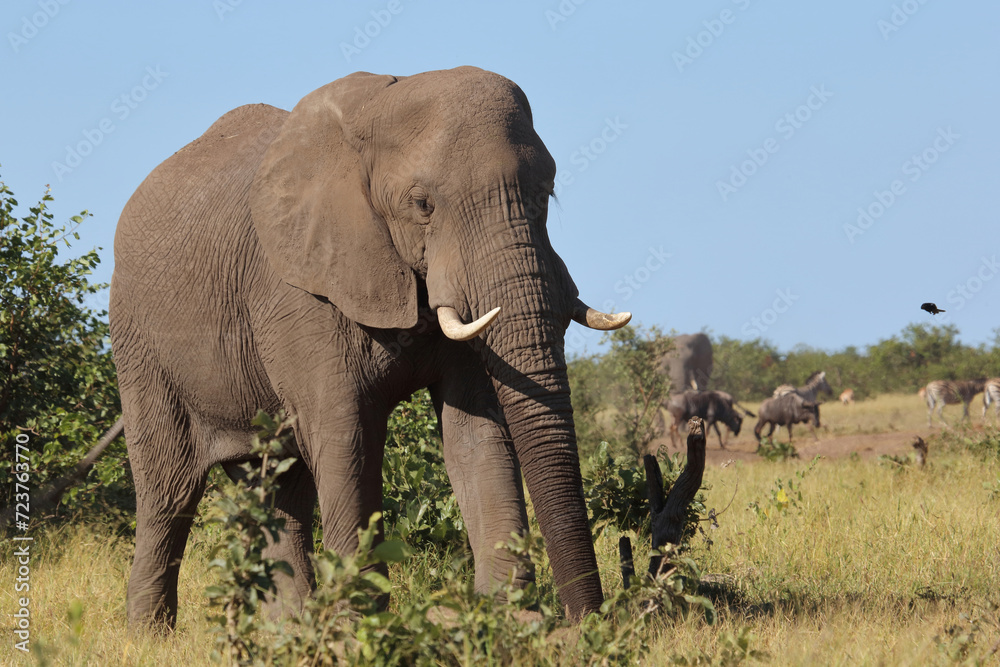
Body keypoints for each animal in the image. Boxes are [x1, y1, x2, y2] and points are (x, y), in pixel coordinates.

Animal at [110, 66, 631, 628]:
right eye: (422, 205)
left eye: (548, 193)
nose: (588, 622)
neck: (376, 110)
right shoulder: (299, 288)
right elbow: (346, 436)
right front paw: (363, 628)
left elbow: (475, 432)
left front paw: (507, 620)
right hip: (137, 339)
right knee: (170, 491)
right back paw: (148, 636)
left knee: (278, 488)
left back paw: (289, 630)